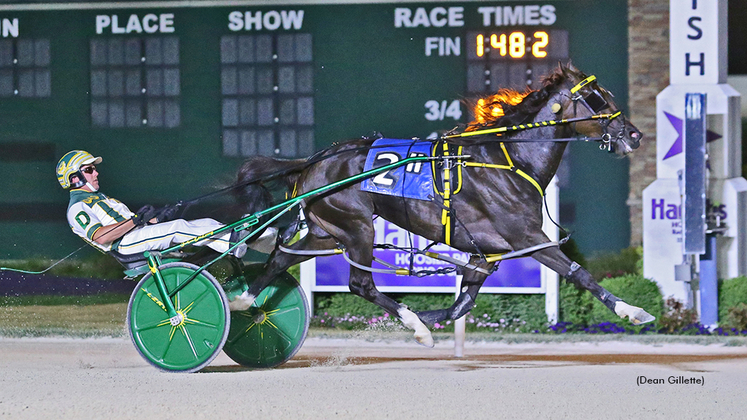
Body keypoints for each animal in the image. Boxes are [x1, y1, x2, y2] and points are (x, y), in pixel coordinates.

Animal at [231, 61, 652, 344]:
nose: (634, 134)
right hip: (357, 228)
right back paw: (413, 324)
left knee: (282, 258)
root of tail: (312, 160)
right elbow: (579, 274)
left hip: (327, 231)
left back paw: (242, 301)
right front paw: (633, 311)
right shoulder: (527, 238)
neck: (509, 158)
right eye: (595, 98)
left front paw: (427, 314)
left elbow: (461, 305)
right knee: (360, 284)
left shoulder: (486, 255)